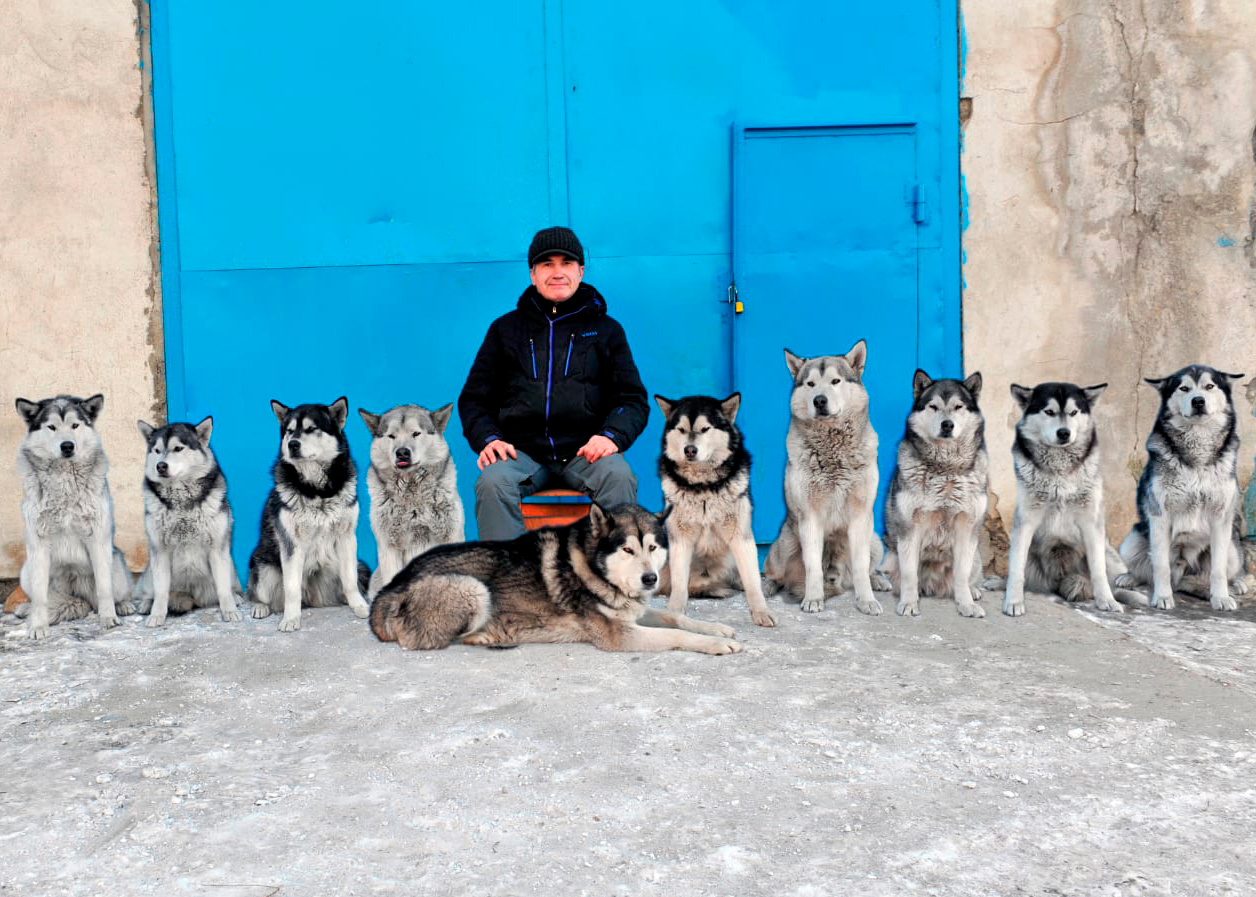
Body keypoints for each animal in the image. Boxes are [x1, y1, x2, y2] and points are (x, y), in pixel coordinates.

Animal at [13, 391, 135, 635]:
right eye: (51, 427)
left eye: (75, 425)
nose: (67, 446)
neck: (64, 483)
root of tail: (79, 598)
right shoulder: (38, 544)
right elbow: (39, 597)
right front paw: (37, 626)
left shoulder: (98, 539)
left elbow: (104, 589)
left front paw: (109, 619)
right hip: (26, 571)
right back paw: (25, 609)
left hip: (117, 566)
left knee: (116, 593)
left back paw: (124, 606)